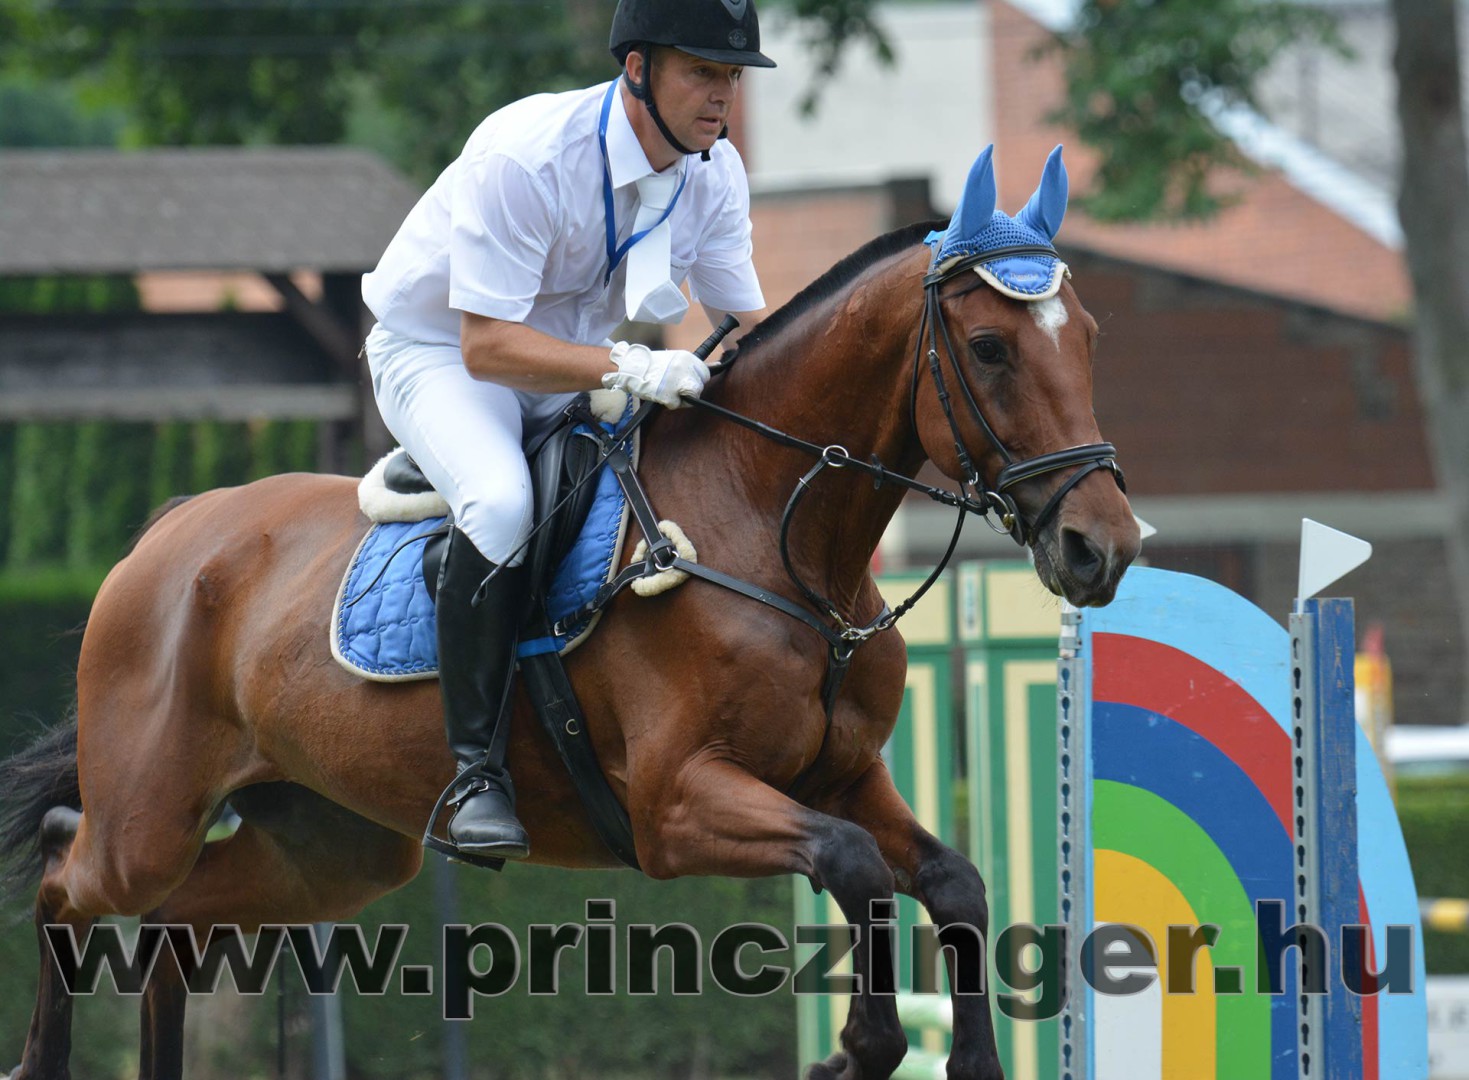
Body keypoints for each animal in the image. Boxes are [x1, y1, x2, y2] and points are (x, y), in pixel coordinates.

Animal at [0, 145, 1138, 1080]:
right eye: (988, 348)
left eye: (1086, 336)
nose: (1106, 545)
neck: (775, 526)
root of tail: (168, 536)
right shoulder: (678, 804)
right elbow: (853, 866)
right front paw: (859, 1049)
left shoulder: (843, 777)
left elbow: (952, 881)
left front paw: (955, 1056)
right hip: (150, 819)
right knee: (67, 869)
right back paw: (39, 1060)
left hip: (330, 846)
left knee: (174, 930)